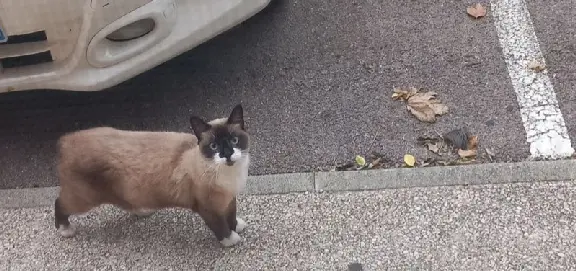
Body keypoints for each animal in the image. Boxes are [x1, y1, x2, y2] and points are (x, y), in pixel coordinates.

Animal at [54, 104, 250, 249]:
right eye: (214, 146)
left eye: (234, 140)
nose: (227, 155)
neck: (228, 174)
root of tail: (66, 139)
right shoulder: (207, 208)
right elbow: (220, 226)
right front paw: (231, 240)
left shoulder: (230, 198)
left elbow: (231, 216)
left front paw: (237, 226)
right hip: (84, 199)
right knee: (60, 203)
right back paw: (65, 230)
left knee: (124, 202)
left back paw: (143, 210)